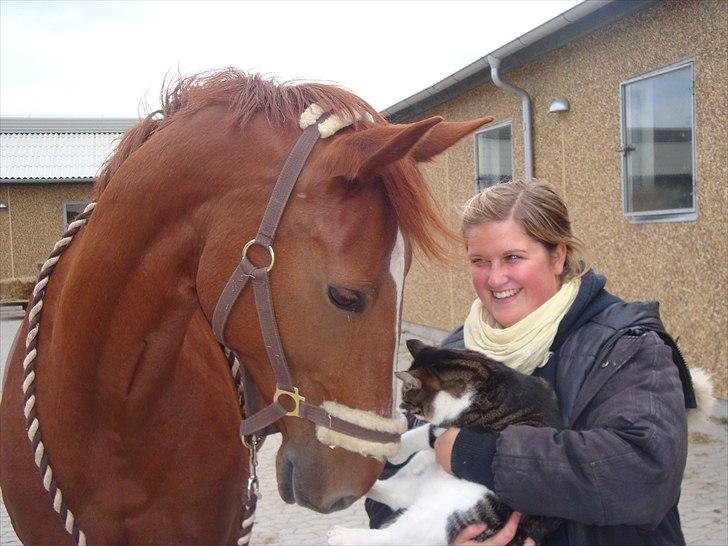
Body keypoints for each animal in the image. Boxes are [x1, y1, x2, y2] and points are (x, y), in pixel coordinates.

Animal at [328, 338, 564, 540]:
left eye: (406, 397)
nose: (401, 407)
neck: (484, 376)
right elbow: (424, 433)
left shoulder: (455, 428)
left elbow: (427, 433)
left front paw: (399, 449)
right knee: (394, 496)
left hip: (449, 510)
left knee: (396, 536)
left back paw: (341, 535)